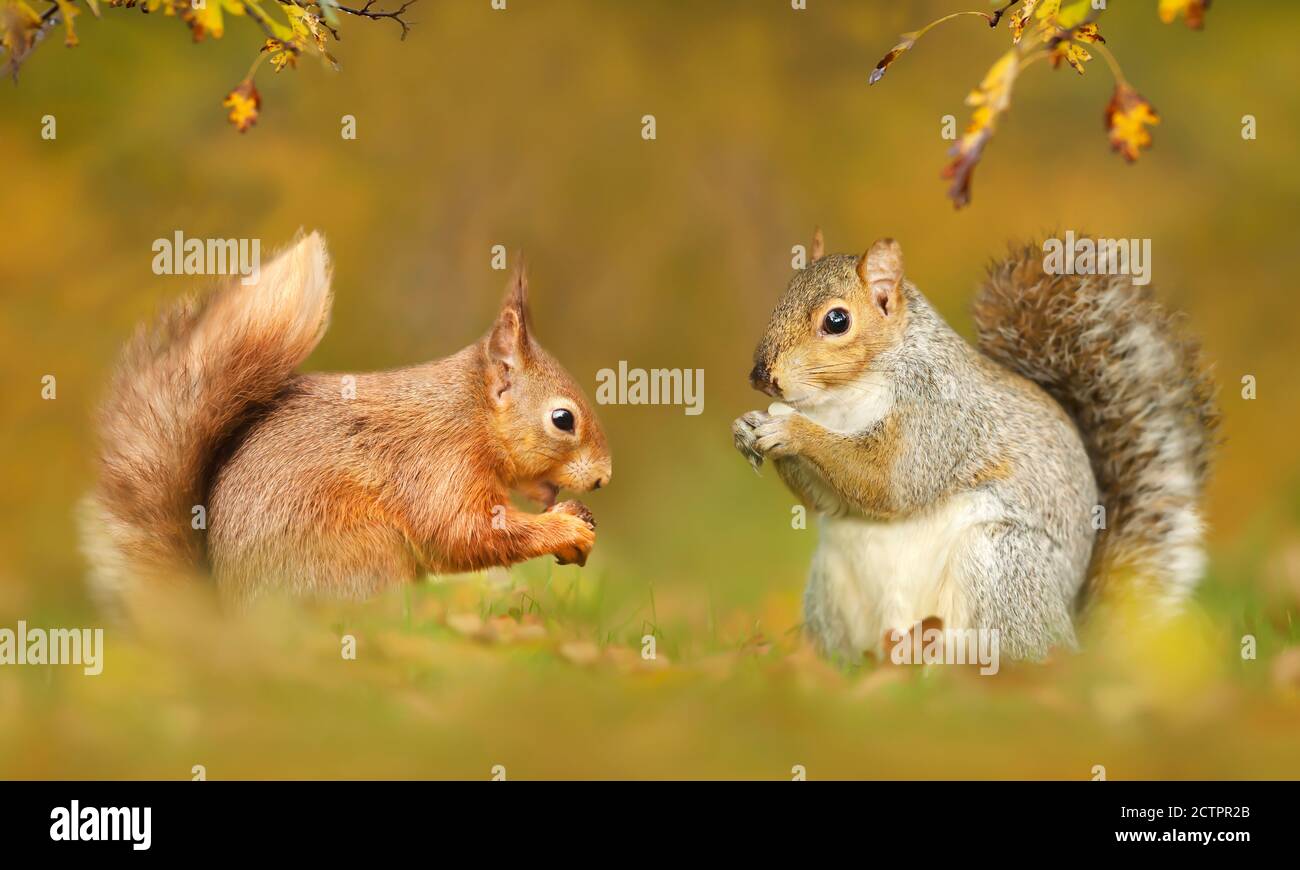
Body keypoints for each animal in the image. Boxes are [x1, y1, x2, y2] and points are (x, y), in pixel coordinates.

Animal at [738, 230, 1222, 658]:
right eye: (780, 300)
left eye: (837, 321)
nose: (761, 376)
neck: (840, 401)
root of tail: (1073, 637)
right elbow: (829, 501)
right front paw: (747, 427)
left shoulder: (941, 415)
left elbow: (892, 481)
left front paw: (791, 431)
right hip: (830, 586)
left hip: (1000, 565)